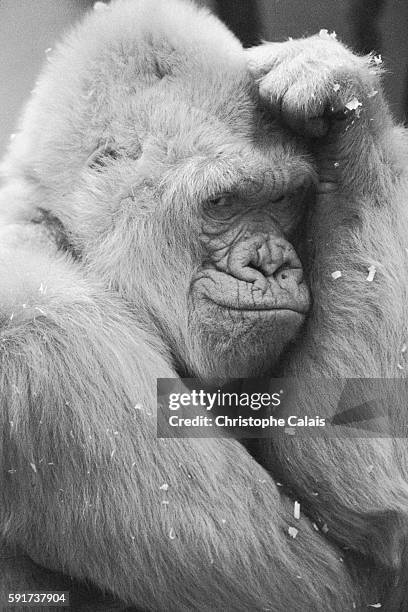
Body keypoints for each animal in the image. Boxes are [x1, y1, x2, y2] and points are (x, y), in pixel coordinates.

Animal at [0, 1, 408, 612]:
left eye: (282, 198)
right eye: (221, 202)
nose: (271, 264)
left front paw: (346, 107)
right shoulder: (47, 335)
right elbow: (334, 580)